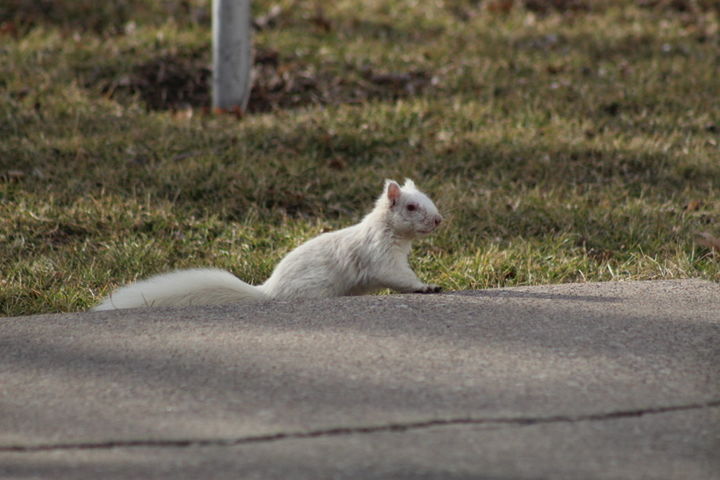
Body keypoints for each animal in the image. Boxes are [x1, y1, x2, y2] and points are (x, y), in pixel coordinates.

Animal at [94, 177, 444, 312]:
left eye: (429, 199)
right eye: (412, 207)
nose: (439, 220)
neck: (388, 230)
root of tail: (269, 292)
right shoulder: (379, 253)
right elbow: (396, 276)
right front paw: (425, 286)